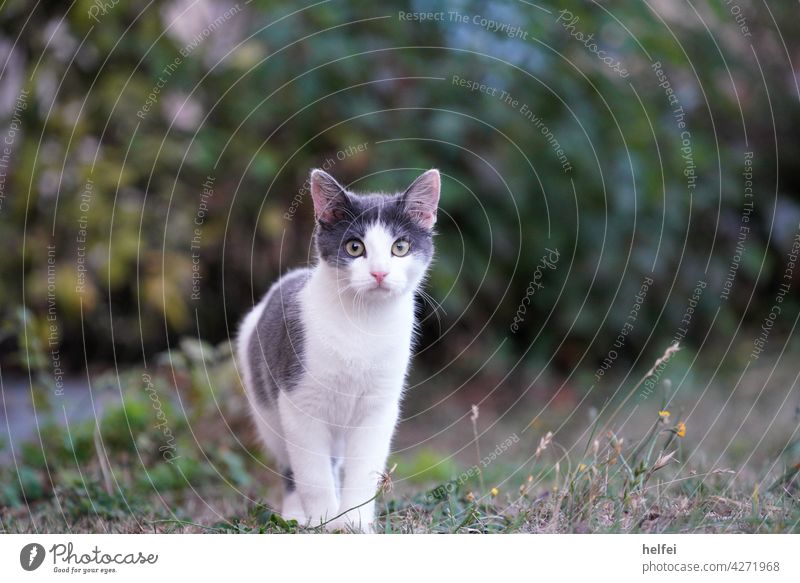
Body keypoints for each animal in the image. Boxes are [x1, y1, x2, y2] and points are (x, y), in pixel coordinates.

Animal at [238, 167, 440, 532]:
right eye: (354, 247)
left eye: (400, 247)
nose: (379, 272)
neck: (363, 325)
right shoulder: (299, 402)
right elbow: (312, 473)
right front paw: (324, 520)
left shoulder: (379, 407)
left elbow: (363, 469)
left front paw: (354, 522)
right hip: (265, 407)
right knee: (292, 466)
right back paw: (294, 514)